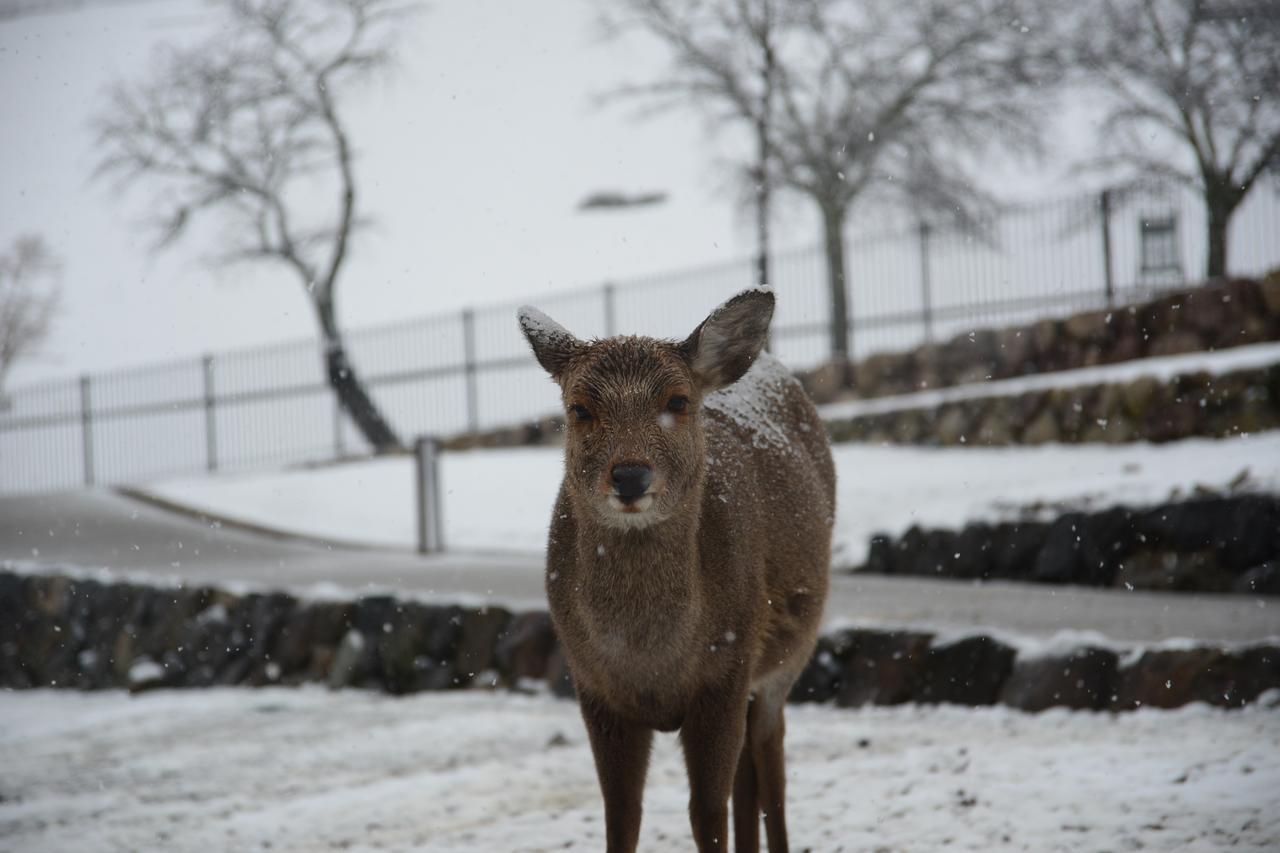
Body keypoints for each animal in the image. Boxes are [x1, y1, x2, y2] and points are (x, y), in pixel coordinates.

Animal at [514, 286, 834, 850]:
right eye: (580, 408)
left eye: (677, 402)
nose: (630, 475)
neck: (650, 663)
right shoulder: (594, 687)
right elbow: (622, 813)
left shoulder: (725, 673)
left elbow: (706, 812)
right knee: (749, 775)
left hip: (789, 657)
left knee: (770, 759)